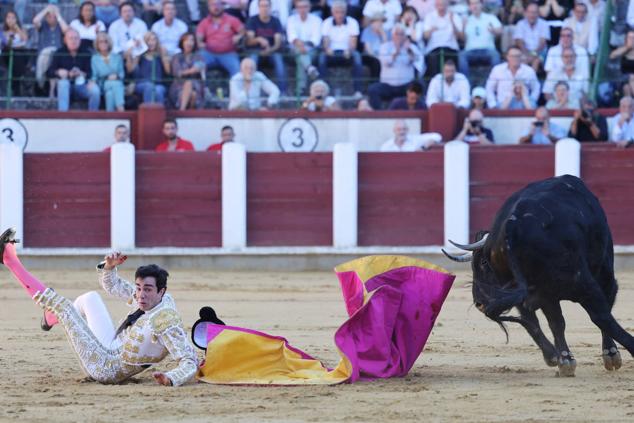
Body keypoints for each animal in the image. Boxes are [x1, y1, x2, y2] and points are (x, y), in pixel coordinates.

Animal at [442, 176, 632, 378]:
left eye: (484, 263)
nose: (479, 303)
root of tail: (513, 225)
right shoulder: (603, 274)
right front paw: (607, 354)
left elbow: (551, 322)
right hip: (582, 281)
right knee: (600, 316)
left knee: (553, 320)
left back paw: (560, 358)